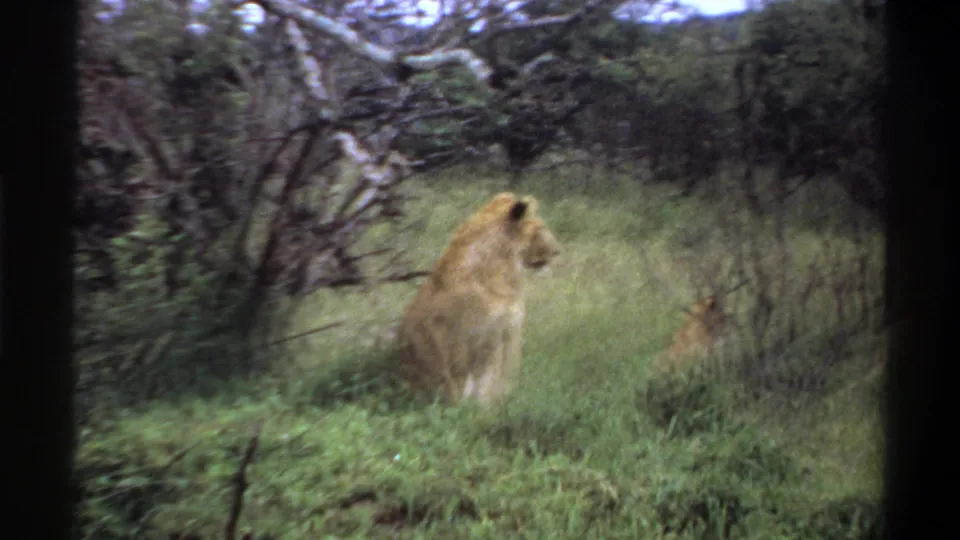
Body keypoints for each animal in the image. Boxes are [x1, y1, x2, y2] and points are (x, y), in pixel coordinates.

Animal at [393, 192, 561, 407]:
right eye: (541, 228)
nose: (557, 251)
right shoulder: (489, 335)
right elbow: (489, 380)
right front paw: (485, 408)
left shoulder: (504, 332)